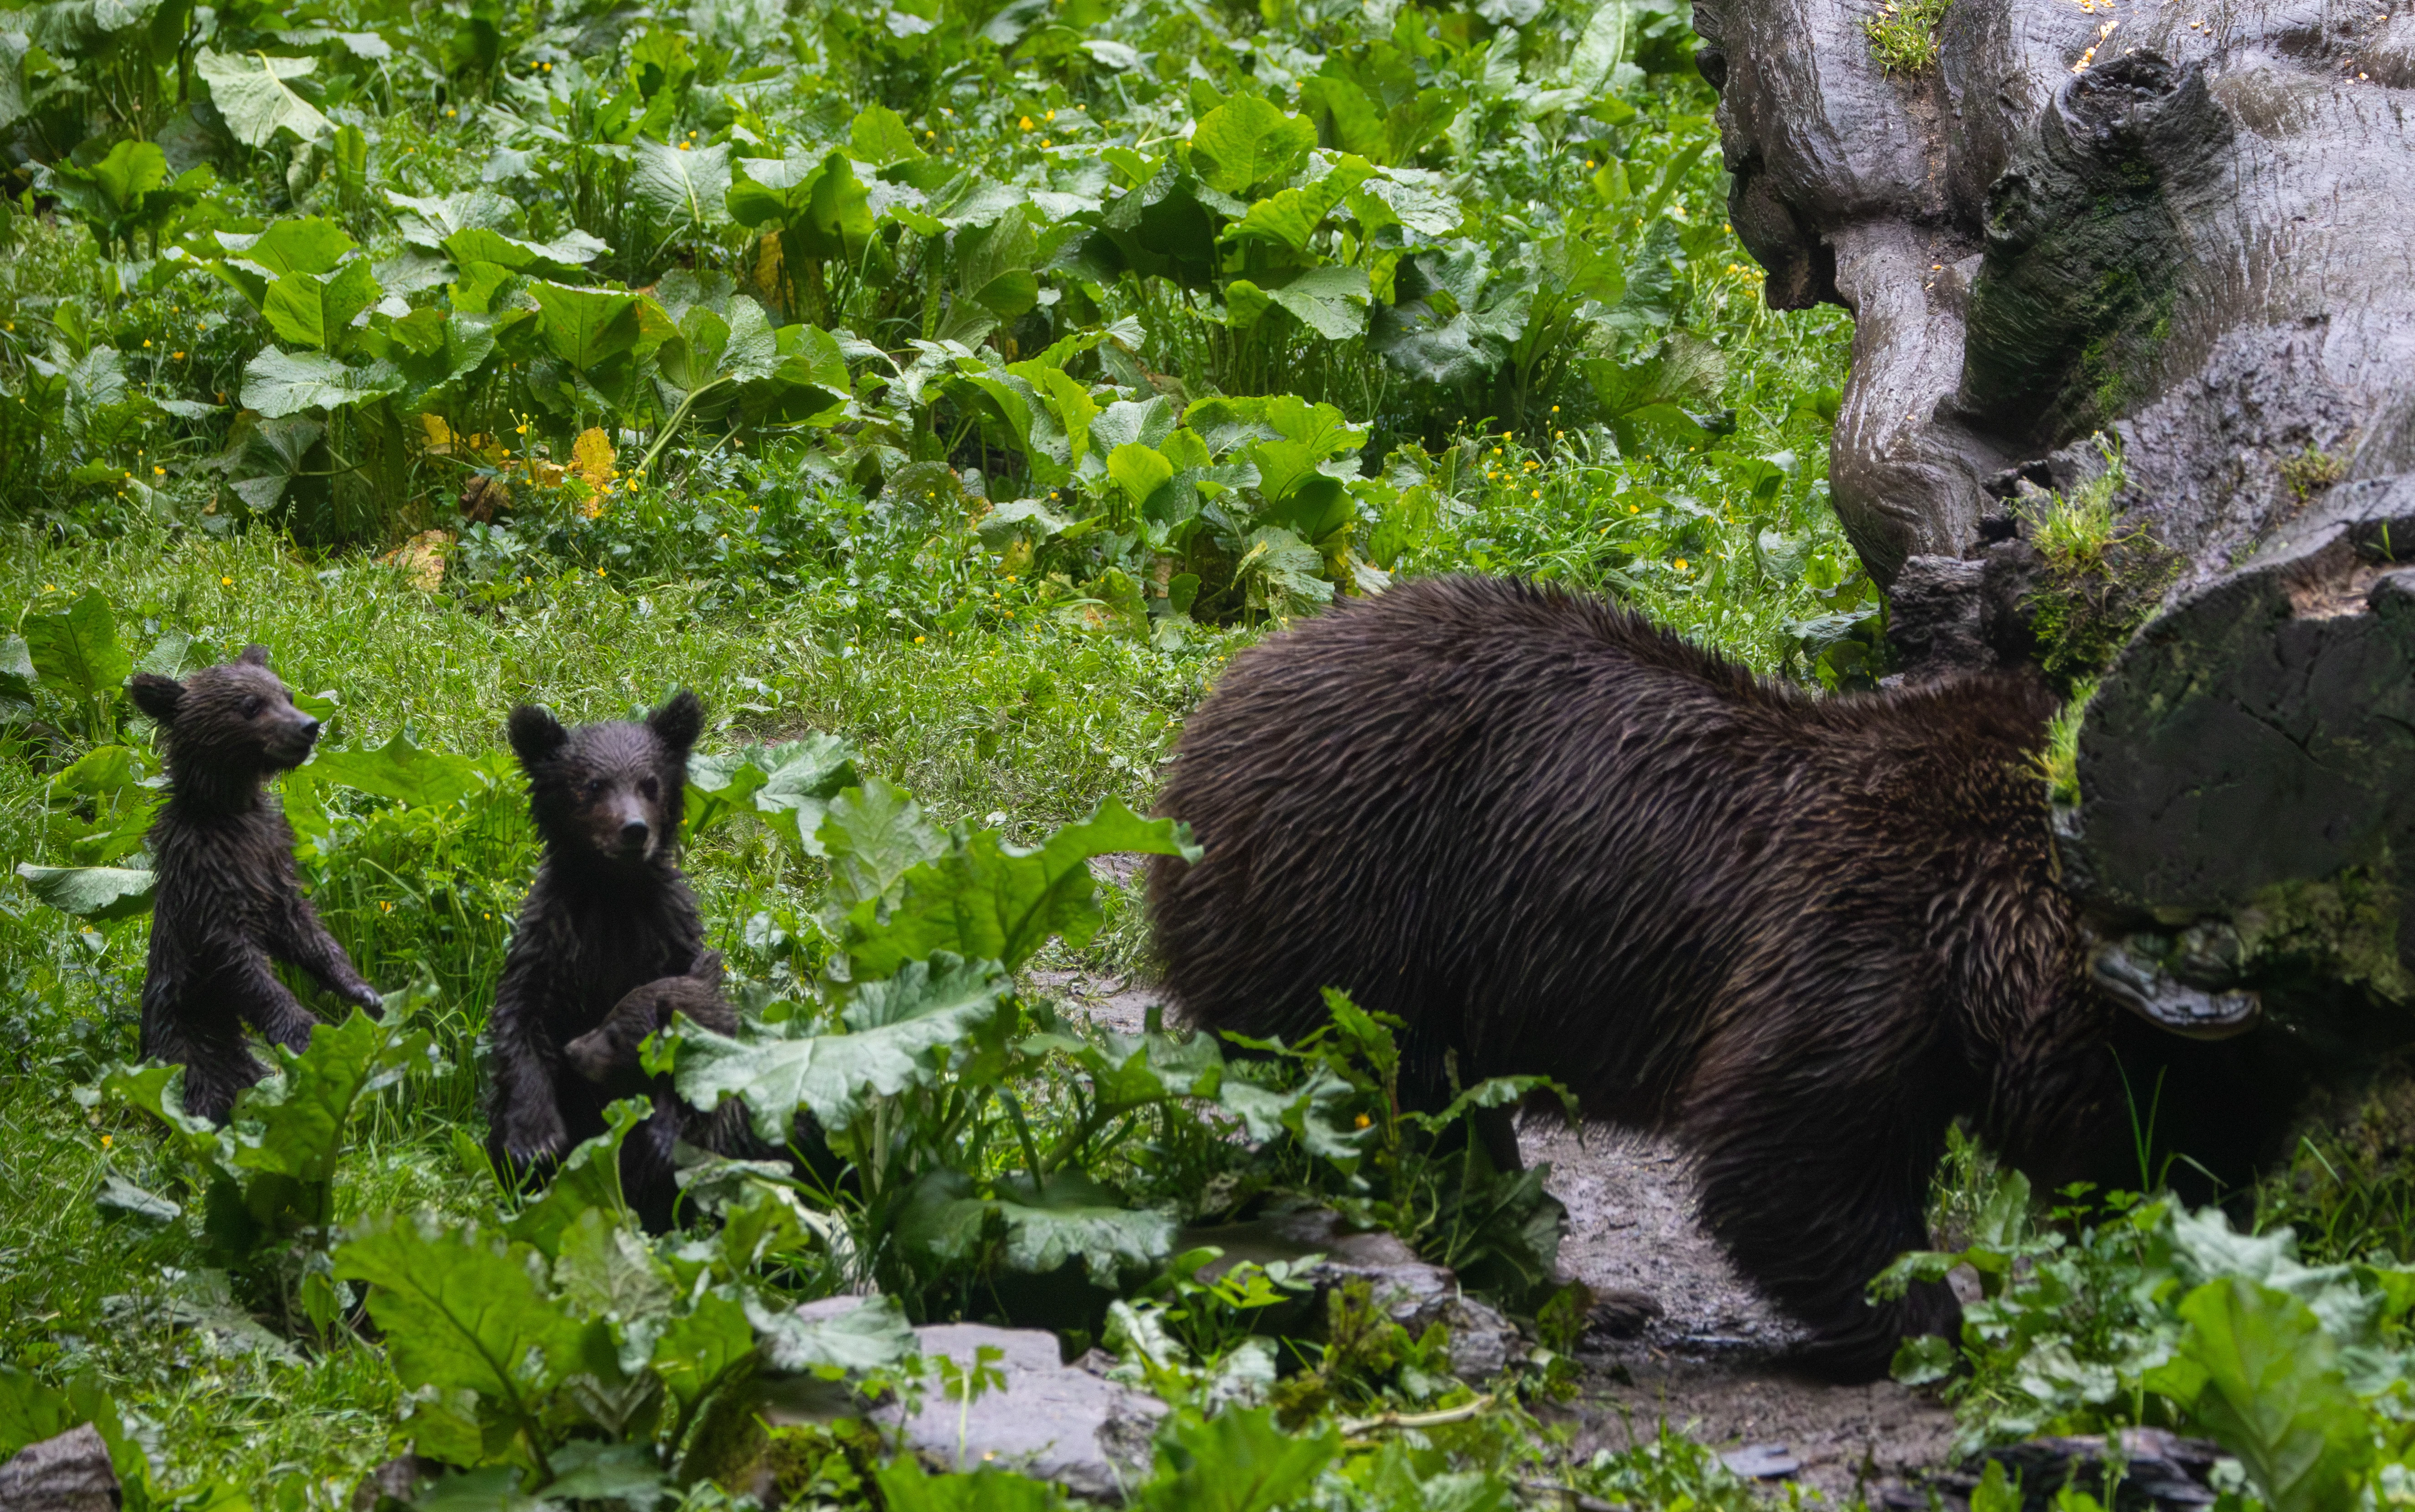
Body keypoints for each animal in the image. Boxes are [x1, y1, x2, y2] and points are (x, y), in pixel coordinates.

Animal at [128, 646, 384, 1124]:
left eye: (286, 693)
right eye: (250, 705)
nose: (309, 725)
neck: (232, 812)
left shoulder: (272, 865)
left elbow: (308, 935)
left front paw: (364, 992)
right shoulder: (209, 887)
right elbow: (242, 966)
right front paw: (305, 1029)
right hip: (187, 1043)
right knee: (198, 1086)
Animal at [484, 691, 710, 1197]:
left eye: (650, 783)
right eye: (591, 785)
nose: (634, 829)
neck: (613, 897)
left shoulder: (670, 938)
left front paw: (661, 1139)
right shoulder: (549, 947)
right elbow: (520, 1021)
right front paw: (533, 1140)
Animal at [1144, 574, 2268, 1381]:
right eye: (2164, 1100)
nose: (2201, 1199)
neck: (1974, 935)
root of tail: (1205, 720)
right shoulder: (1854, 941)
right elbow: (1784, 1149)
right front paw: (1936, 1325)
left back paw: (1582, 1295)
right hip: (1362, 898)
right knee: (1396, 1113)